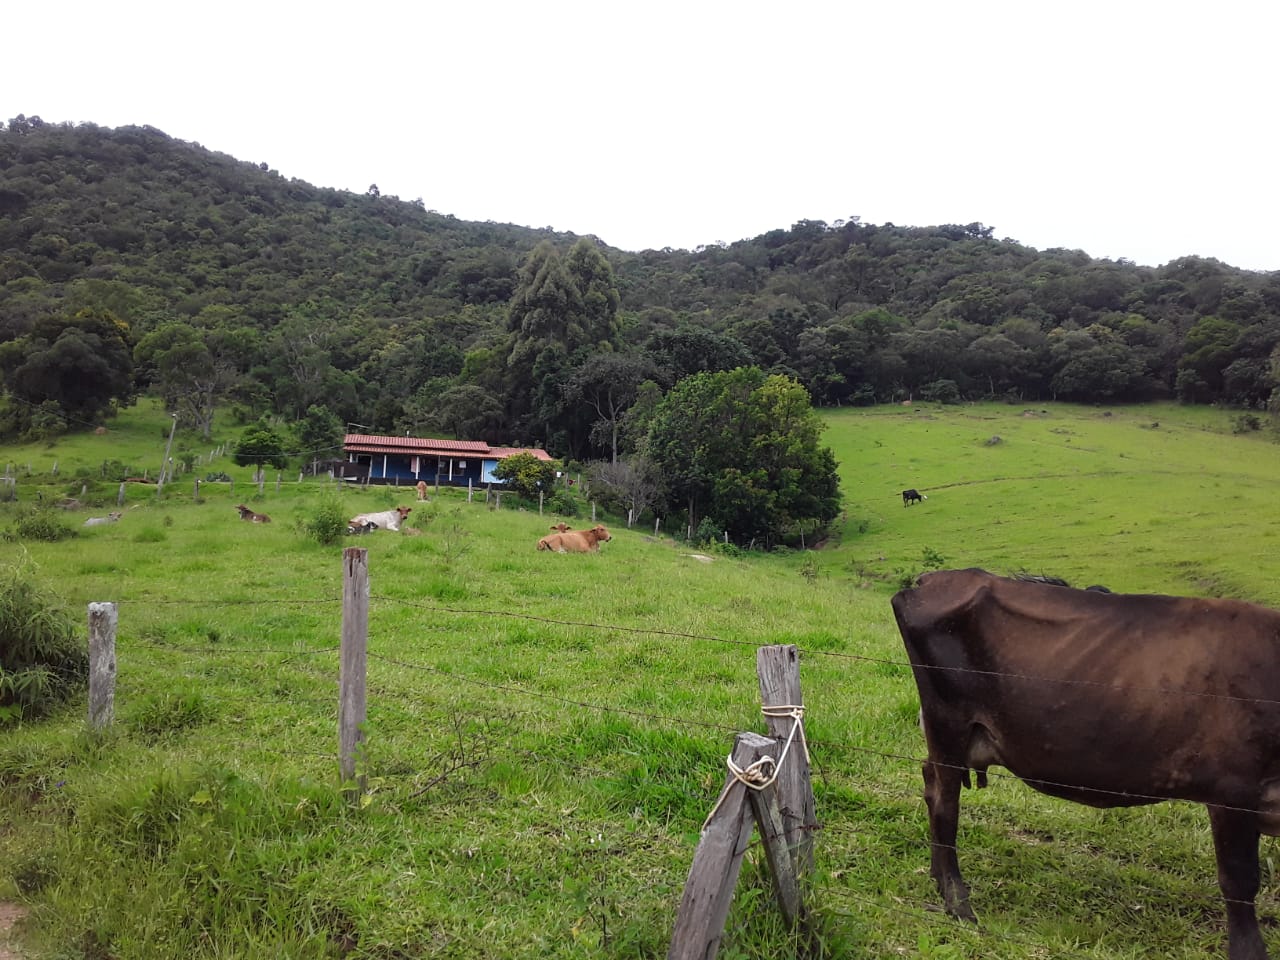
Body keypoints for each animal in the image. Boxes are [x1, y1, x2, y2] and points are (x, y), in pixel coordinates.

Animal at [896, 570, 1280, 960]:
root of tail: (936, 578)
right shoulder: (1232, 790)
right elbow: (1240, 880)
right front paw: (1249, 951)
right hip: (948, 722)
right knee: (945, 802)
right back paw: (958, 904)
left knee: (930, 782)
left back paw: (937, 878)